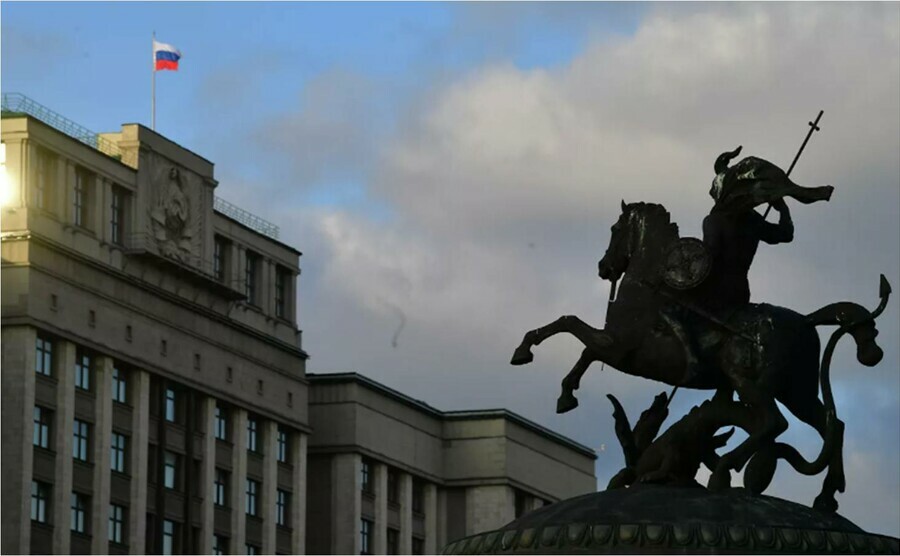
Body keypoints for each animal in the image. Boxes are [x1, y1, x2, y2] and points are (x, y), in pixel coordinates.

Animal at [510, 202, 888, 510]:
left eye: (615, 229)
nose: (604, 267)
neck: (645, 289)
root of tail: (806, 321)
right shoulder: (615, 348)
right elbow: (578, 340)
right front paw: (562, 389)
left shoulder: (618, 349)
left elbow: (572, 328)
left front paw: (535, 363)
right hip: (797, 390)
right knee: (832, 425)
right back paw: (825, 496)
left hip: (749, 380)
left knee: (774, 423)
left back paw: (724, 472)